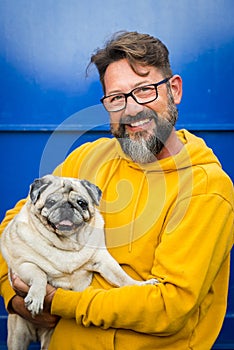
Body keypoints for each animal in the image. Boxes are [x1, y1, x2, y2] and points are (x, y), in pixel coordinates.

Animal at [1, 175, 157, 350]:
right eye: (51, 202)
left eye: (81, 203)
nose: (67, 206)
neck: (67, 244)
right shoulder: (23, 264)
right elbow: (39, 275)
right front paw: (36, 297)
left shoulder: (104, 261)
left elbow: (122, 277)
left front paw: (140, 284)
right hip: (18, 336)